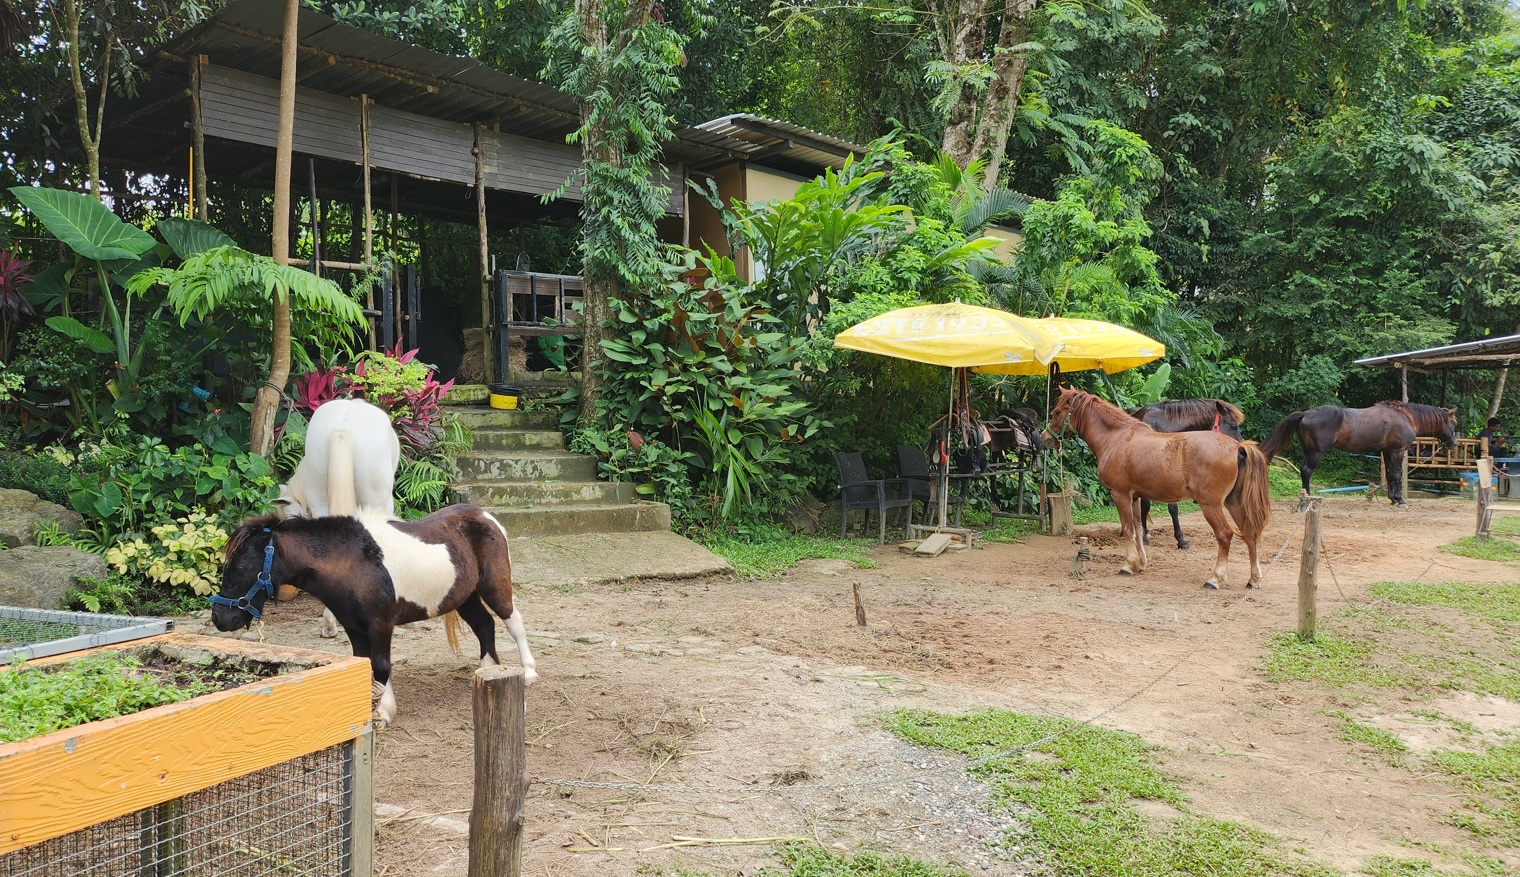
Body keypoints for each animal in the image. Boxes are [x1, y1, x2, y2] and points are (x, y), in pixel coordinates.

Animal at [210, 505, 538, 726]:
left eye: (240, 568)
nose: (220, 619)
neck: (351, 562)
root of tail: (485, 516)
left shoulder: (381, 624)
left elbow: (381, 666)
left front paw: (383, 711)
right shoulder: (354, 627)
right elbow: (364, 663)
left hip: (494, 587)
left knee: (514, 622)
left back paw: (529, 672)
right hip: (464, 597)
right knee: (484, 625)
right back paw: (487, 670)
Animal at [1130, 399, 1245, 550]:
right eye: (1234, 426)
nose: (1242, 452)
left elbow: (1172, 508)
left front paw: (1180, 540)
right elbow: (1146, 506)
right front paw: (1143, 538)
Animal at [1258, 402, 1457, 505]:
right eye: (1454, 423)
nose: (1453, 444)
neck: (1406, 417)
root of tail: (1305, 413)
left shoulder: (1387, 451)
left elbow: (1390, 475)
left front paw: (1392, 498)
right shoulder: (1397, 451)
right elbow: (1396, 475)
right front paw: (1399, 499)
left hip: (1309, 451)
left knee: (1303, 470)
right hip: (1316, 452)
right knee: (1307, 471)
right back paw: (1307, 496)